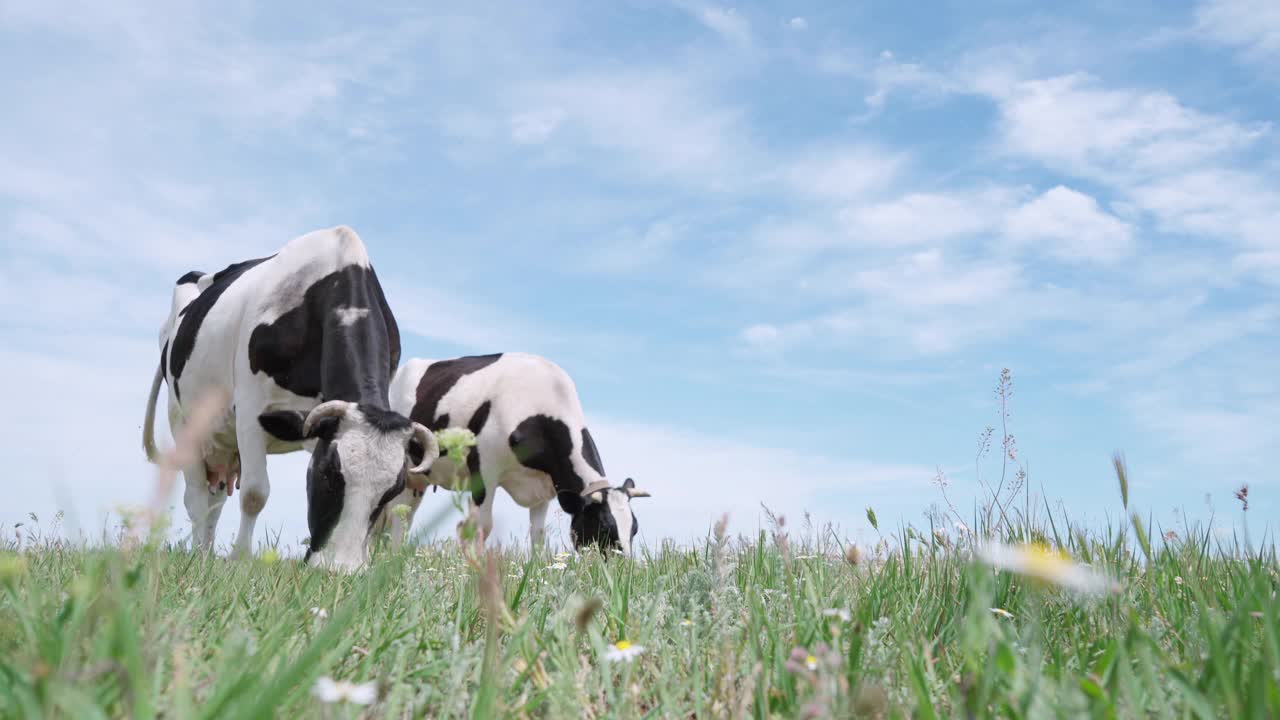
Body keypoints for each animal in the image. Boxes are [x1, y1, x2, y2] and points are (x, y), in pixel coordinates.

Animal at [141, 226, 440, 568]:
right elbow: (254, 494)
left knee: (214, 503)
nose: (340, 570)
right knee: (196, 499)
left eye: (393, 488)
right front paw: (241, 561)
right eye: (327, 474)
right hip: (183, 422)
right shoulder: (250, 410)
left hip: (224, 444)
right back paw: (200, 557)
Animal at [373, 351, 645, 548]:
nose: (622, 572)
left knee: (403, 516)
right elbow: (481, 527)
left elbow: (538, 535)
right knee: (394, 517)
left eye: (634, 529)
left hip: (418, 480)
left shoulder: (545, 487)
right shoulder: (484, 470)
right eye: (603, 526)